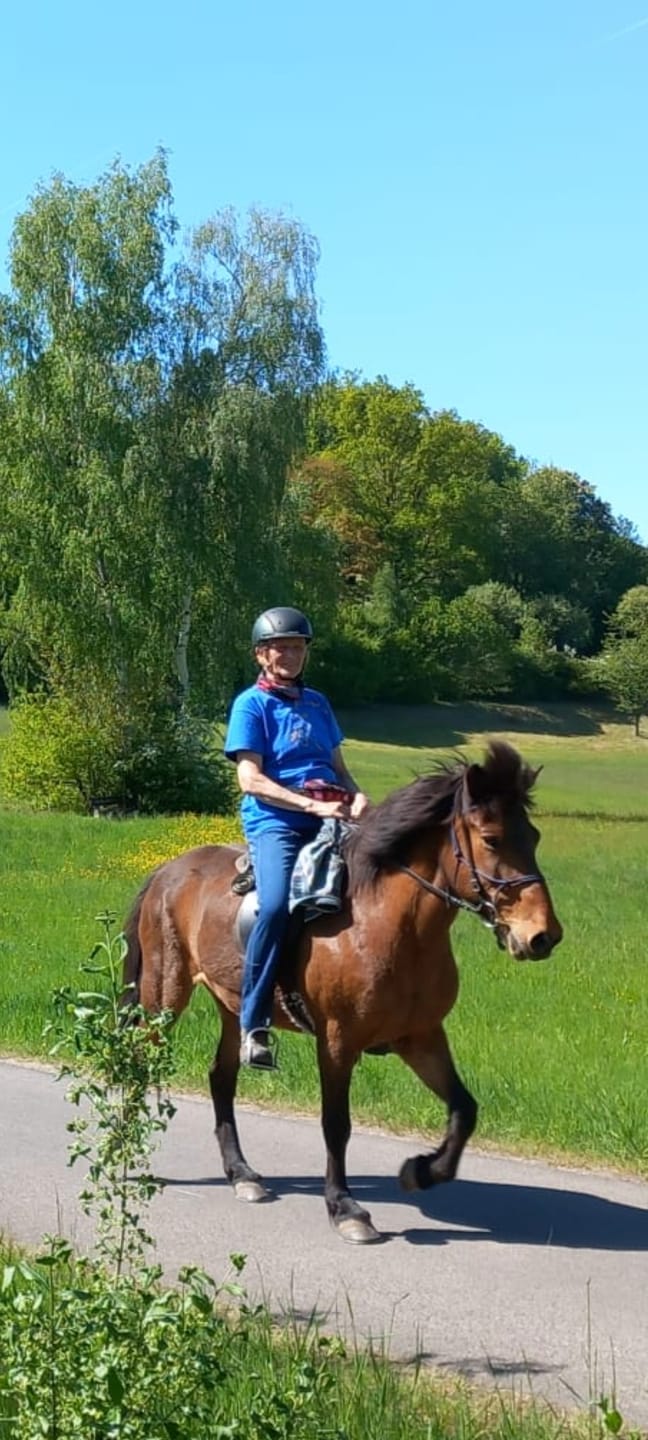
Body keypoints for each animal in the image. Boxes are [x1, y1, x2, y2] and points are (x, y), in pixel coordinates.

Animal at [122, 740, 562, 1244]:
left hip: (234, 1007)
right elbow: (336, 1124)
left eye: (534, 836)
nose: (543, 936)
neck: (389, 926)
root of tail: (168, 870)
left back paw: (242, 1174)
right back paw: (127, 1153)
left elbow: (463, 1109)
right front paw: (346, 1208)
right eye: (491, 839)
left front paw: (421, 1171)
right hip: (165, 996)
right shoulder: (337, 1041)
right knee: (138, 1059)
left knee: (221, 1076)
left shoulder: (421, 1037)